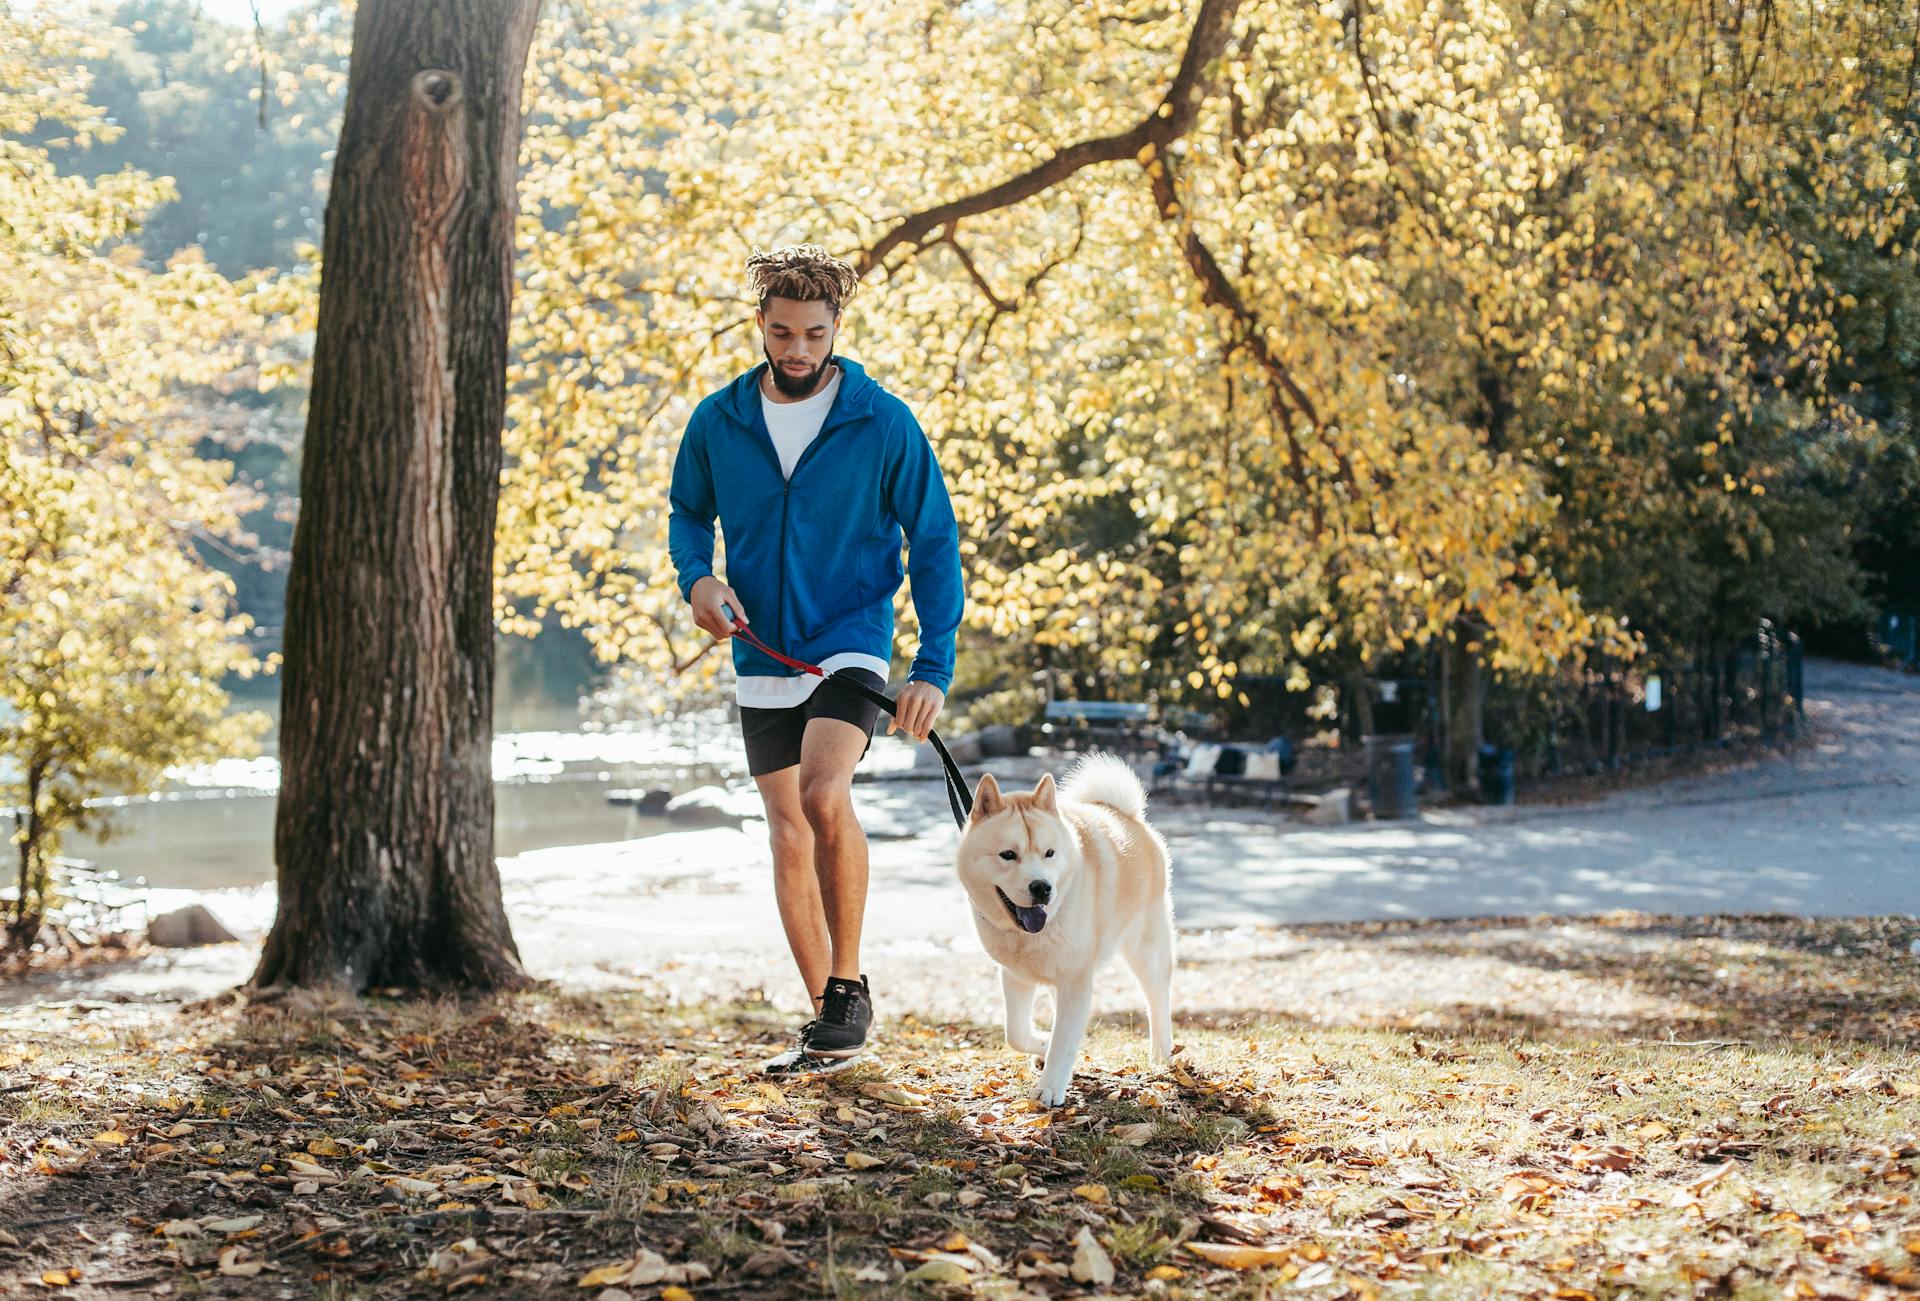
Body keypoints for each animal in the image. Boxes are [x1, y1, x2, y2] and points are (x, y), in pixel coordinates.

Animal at [956, 756, 1167, 1112]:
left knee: (1158, 1001)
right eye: (1008, 855)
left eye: (1049, 854)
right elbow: (1016, 1034)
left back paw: (1163, 1054)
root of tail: (1127, 816)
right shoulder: (1016, 976)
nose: (1042, 887)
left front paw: (1050, 1086)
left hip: (1147, 951)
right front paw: (1042, 1044)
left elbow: (1064, 1038)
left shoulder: (1076, 980)